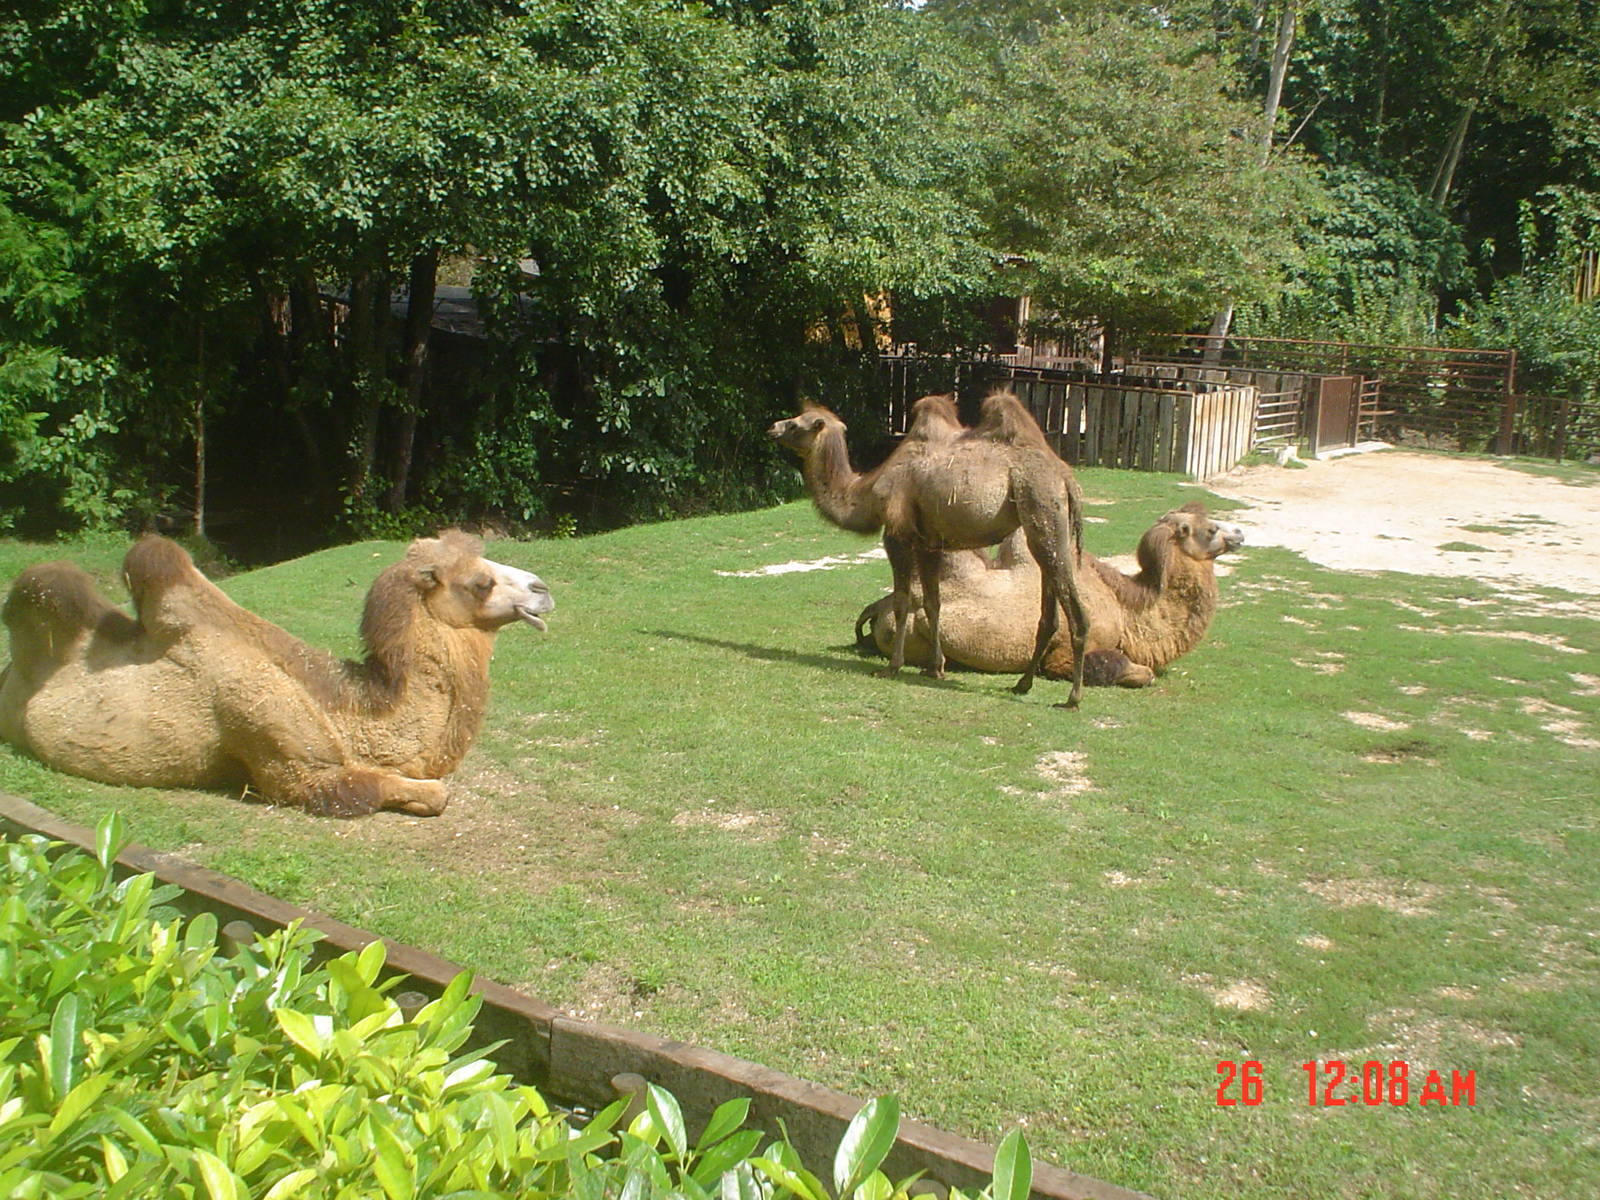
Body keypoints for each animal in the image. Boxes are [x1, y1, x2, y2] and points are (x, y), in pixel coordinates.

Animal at [0, 531, 553, 817]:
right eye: (480, 583)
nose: (542, 588)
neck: (353, 711)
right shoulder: (284, 755)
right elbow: (418, 792)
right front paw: (428, 794)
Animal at [769, 390, 1091, 706]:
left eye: (795, 424)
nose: (772, 428)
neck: (868, 494)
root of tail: (1067, 479)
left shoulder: (897, 534)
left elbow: (902, 601)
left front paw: (892, 666)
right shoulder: (930, 543)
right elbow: (933, 603)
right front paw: (935, 668)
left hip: (1042, 506)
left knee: (1077, 612)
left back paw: (1072, 697)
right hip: (1044, 526)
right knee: (1049, 615)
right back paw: (1022, 684)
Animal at [855, 502, 1244, 687]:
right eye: (1210, 529)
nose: (1239, 533)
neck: (1124, 606)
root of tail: (879, 609)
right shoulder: (1066, 654)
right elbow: (1122, 666)